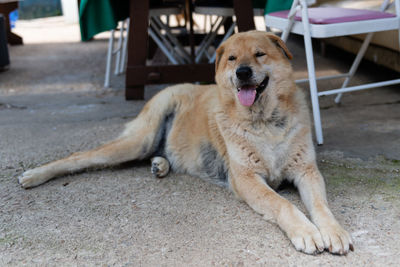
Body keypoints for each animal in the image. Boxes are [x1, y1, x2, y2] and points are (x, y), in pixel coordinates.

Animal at [18, 30, 354, 255]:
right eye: (232, 58)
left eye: (259, 54)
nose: (243, 72)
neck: (264, 122)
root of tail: (171, 87)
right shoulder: (246, 179)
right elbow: (283, 204)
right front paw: (306, 232)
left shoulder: (306, 171)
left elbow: (321, 205)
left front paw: (334, 231)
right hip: (137, 141)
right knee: (79, 157)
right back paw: (34, 175)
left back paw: (160, 164)